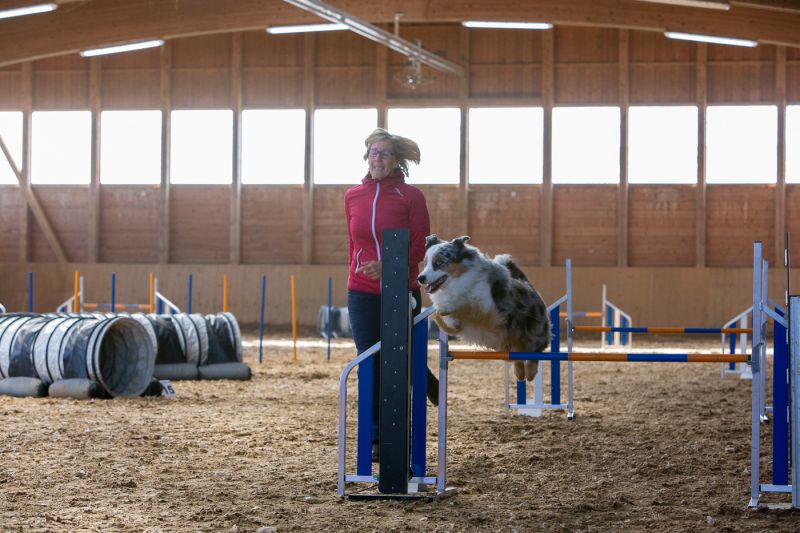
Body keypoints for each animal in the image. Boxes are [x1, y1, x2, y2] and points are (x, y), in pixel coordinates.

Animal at [417, 234, 551, 382]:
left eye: (439, 263)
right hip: (511, 345)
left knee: (534, 353)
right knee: (518, 357)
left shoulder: (489, 308)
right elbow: (451, 320)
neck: (457, 281)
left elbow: (467, 303)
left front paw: (450, 306)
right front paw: (442, 312)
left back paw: (531, 374)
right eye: (425, 263)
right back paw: (520, 373)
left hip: (534, 332)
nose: (420, 278)